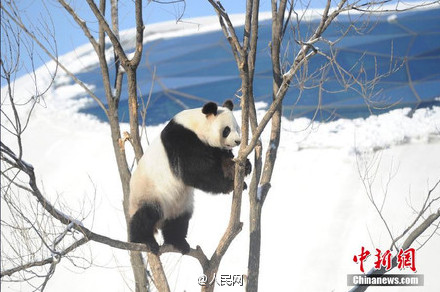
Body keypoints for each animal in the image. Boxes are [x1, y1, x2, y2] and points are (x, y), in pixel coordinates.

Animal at [128, 100, 251, 253]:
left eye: (238, 128)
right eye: (226, 130)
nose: (238, 141)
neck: (195, 126)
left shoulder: (211, 147)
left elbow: (223, 161)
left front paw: (244, 167)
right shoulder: (181, 141)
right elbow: (196, 172)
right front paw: (229, 185)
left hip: (180, 205)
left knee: (178, 222)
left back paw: (178, 242)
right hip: (149, 193)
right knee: (146, 215)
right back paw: (144, 240)